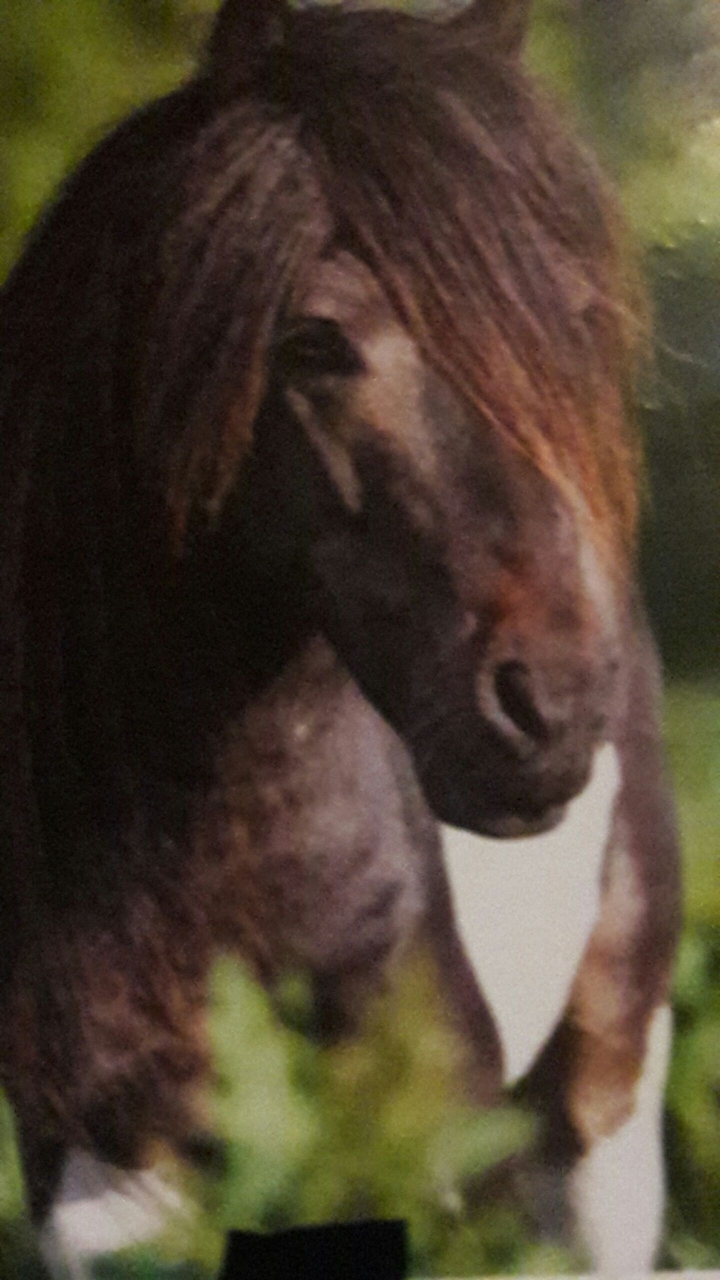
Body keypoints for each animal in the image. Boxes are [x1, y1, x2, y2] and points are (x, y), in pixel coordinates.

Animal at [0, 0, 681, 1275]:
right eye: (314, 341)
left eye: (570, 320)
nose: (555, 711)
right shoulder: (107, 1180)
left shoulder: (426, 1151)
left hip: (610, 1083)